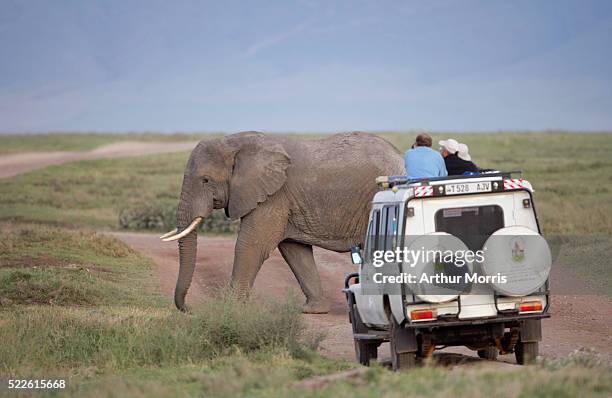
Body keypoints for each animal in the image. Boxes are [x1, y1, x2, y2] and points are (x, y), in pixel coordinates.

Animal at [160, 132, 404, 312]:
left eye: (205, 180)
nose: (188, 309)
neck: (234, 142)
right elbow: (294, 251)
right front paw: (312, 311)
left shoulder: (274, 196)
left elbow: (251, 245)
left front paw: (230, 308)